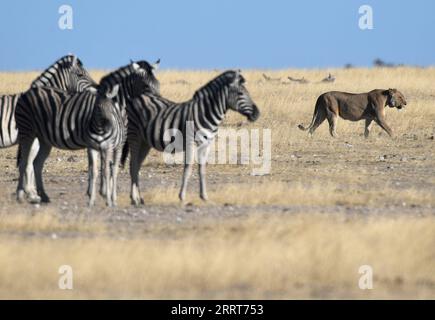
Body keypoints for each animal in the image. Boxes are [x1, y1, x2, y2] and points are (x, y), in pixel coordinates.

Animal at [14, 62, 155, 208]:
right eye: (146, 85)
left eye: (157, 83)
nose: (154, 102)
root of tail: (25, 93)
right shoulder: (98, 143)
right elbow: (98, 167)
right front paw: (101, 193)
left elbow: (100, 167)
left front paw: (100, 192)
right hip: (27, 132)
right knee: (24, 162)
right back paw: (22, 195)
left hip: (44, 139)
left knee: (36, 163)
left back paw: (42, 196)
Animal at [121, 69, 260, 205]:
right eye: (240, 93)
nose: (257, 114)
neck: (205, 113)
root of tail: (136, 97)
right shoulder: (190, 143)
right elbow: (188, 169)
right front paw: (182, 197)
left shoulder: (206, 145)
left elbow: (202, 170)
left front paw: (204, 196)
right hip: (134, 135)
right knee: (133, 165)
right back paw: (134, 199)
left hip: (145, 142)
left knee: (137, 165)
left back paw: (139, 198)